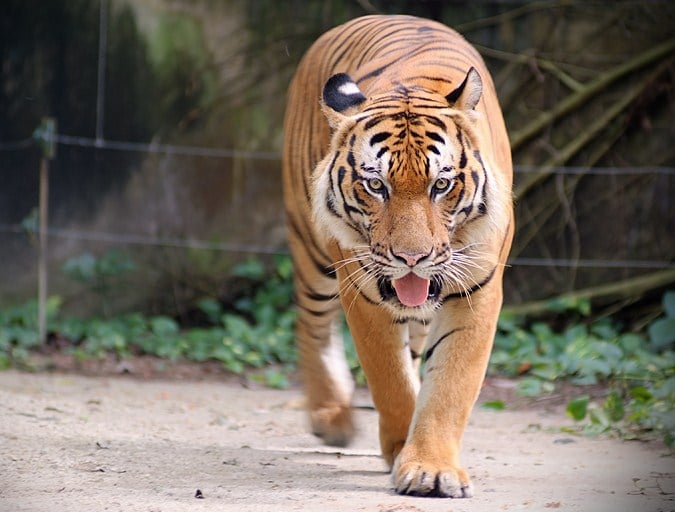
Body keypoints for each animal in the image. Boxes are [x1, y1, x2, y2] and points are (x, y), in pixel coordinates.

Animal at [282, 14, 512, 498]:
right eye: (376, 185)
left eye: (441, 185)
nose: (411, 258)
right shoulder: (364, 292)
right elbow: (389, 377)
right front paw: (402, 448)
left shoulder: (476, 293)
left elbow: (449, 386)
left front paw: (431, 468)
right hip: (313, 251)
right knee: (311, 324)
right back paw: (331, 416)